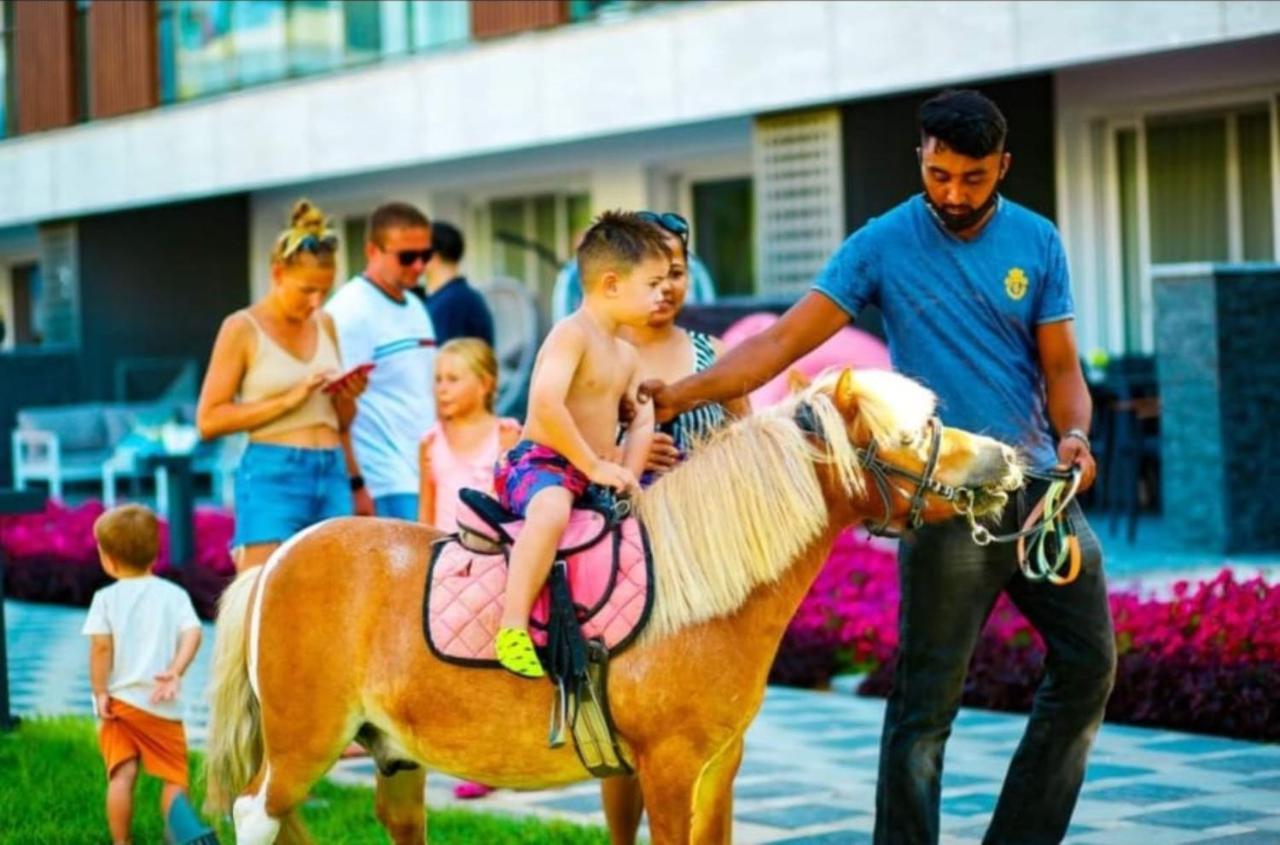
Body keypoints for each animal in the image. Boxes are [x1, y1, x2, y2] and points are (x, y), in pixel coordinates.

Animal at [202, 366, 1018, 839]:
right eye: (910, 434)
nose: (1008, 459)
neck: (703, 589)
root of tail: (277, 560)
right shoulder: (668, 769)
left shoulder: (719, 769)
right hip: (305, 744)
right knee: (255, 813)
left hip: (394, 755)